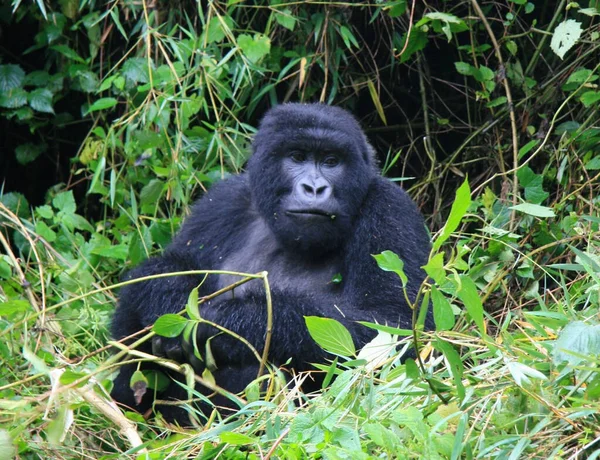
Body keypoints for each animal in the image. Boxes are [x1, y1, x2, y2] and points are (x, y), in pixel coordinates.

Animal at [110, 103, 432, 424]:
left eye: (331, 161)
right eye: (297, 157)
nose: (314, 188)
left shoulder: (390, 209)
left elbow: (394, 329)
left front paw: (218, 323)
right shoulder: (222, 202)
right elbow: (169, 266)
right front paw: (167, 293)